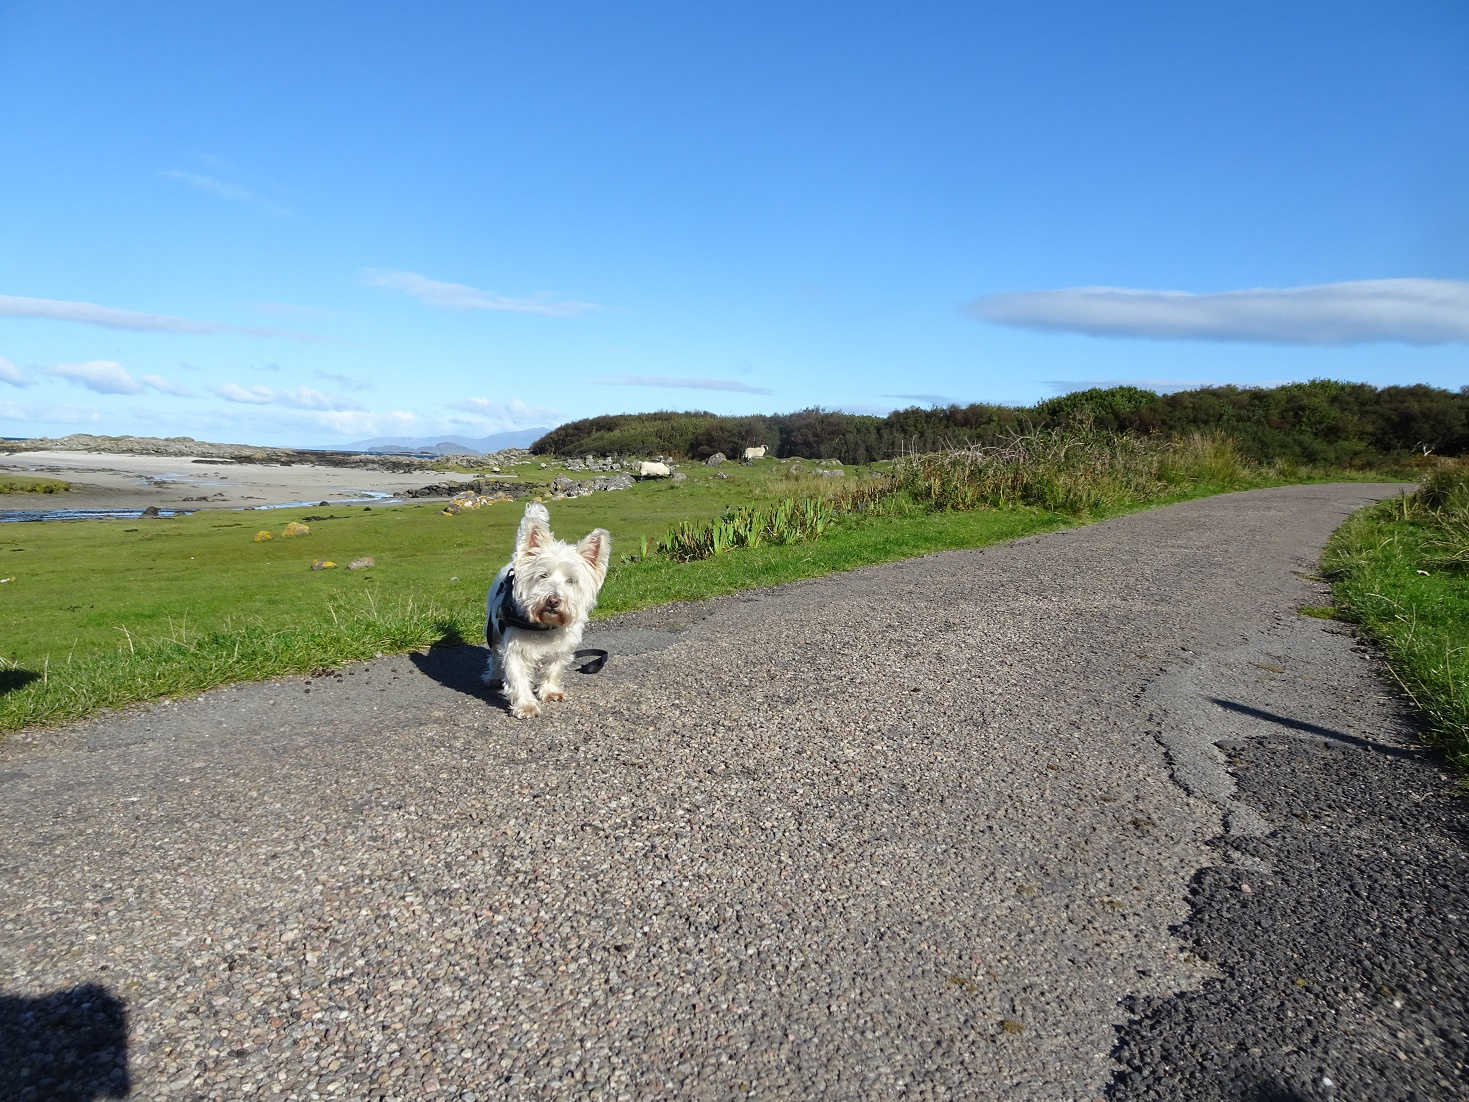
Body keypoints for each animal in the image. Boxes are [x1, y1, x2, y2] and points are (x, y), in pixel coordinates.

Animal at [481, 505, 608, 719]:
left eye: (571, 580)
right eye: (543, 575)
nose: (553, 601)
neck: (545, 626)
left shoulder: (563, 647)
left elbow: (553, 669)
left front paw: (550, 691)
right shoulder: (514, 648)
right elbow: (518, 677)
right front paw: (526, 705)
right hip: (494, 629)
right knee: (494, 656)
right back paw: (492, 677)